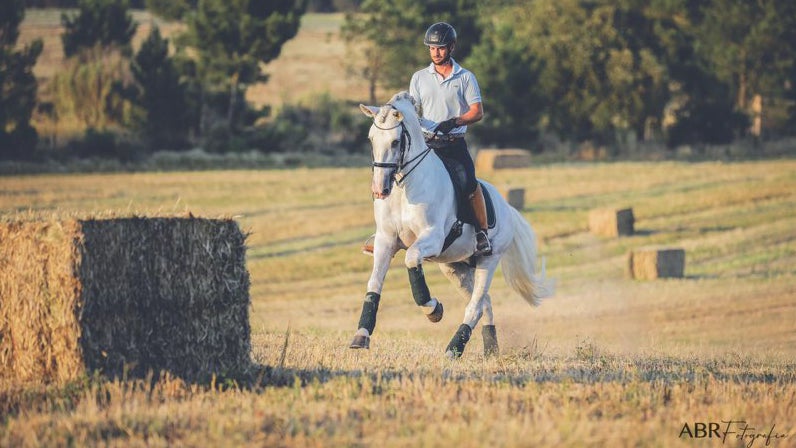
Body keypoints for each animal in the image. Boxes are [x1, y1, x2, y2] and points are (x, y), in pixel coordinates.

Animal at [348, 91, 552, 356]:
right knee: (484, 303)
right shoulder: (386, 240)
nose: (379, 190)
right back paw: (490, 349)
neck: (405, 188)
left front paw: (433, 309)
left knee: (475, 306)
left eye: (395, 142)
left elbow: (411, 259)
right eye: (371, 139)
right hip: (455, 267)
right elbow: (374, 284)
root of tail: (507, 208)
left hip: (488, 260)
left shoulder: (431, 238)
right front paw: (361, 336)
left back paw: (454, 349)